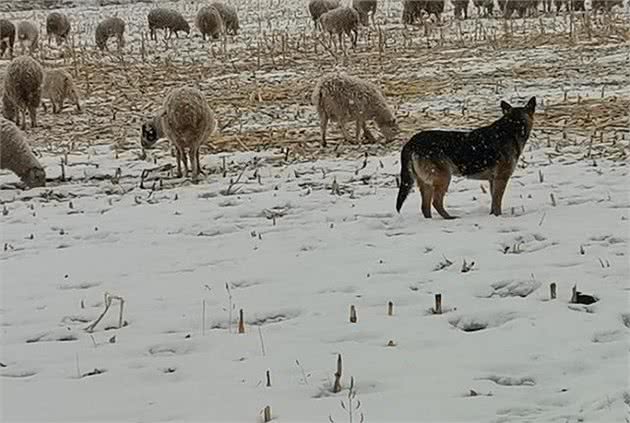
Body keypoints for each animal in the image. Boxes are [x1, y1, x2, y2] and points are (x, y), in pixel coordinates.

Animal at [398, 97, 536, 219]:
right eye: (512, 122)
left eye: (520, 121)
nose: (519, 133)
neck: (507, 131)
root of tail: (412, 141)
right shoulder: (501, 179)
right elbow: (497, 202)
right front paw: (498, 217)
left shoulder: (493, 180)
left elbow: (493, 202)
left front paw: (492, 216)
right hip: (443, 177)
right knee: (436, 202)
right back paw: (450, 218)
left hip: (427, 183)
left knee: (425, 207)